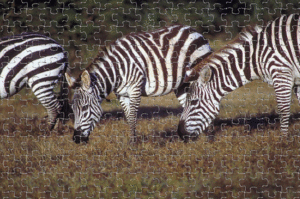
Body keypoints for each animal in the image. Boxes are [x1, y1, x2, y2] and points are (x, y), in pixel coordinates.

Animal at [65, 25, 212, 143]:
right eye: (72, 108)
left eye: (84, 108)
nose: (76, 139)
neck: (117, 71)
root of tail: (193, 30)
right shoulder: (121, 94)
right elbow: (128, 117)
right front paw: (131, 142)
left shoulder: (135, 89)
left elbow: (132, 117)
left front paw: (133, 144)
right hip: (181, 84)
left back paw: (206, 137)